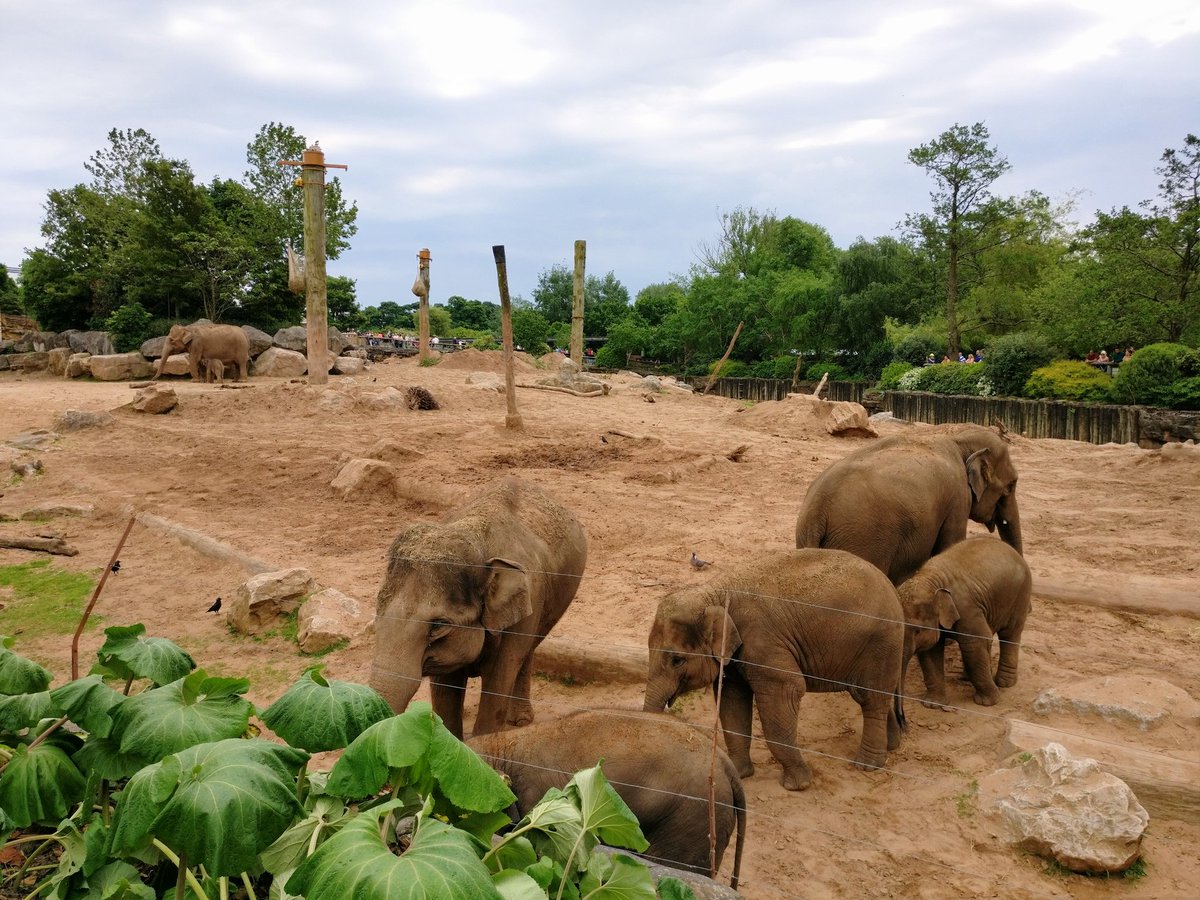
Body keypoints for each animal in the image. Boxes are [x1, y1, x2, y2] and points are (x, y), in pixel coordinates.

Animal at [370, 477, 587, 739]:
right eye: (378, 612)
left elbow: (498, 680)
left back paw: (520, 721)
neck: (474, 533)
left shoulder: (522, 613)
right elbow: (445, 689)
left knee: (527, 650)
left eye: (437, 626)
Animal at [644, 548, 906, 791]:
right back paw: (891, 747)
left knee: (869, 698)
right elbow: (732, 703)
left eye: (677, 660)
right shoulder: (736, 656)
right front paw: (739, 773)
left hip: (880, 644)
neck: (715, 592)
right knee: (878, 696)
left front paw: (797, 785)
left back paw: (867, 765)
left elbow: (786, 691)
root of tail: (892, 589)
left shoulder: (762, 642)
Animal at [795, 423, 1023, 585]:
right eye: (1011, 485)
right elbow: (949, 546)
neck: (959, 440)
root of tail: (817, 510)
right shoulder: (958, 499)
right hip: (862, 539)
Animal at [898, 536, 1033, 709]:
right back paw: (968, 677)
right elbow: (931, 651)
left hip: (1020, 595)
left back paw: (1004, 684)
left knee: (1009, 633)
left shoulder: (966, 609)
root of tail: (1013, 551)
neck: (930, 579)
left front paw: (987, 703)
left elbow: (974, 643)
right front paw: (933, 704)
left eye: (917, 630)